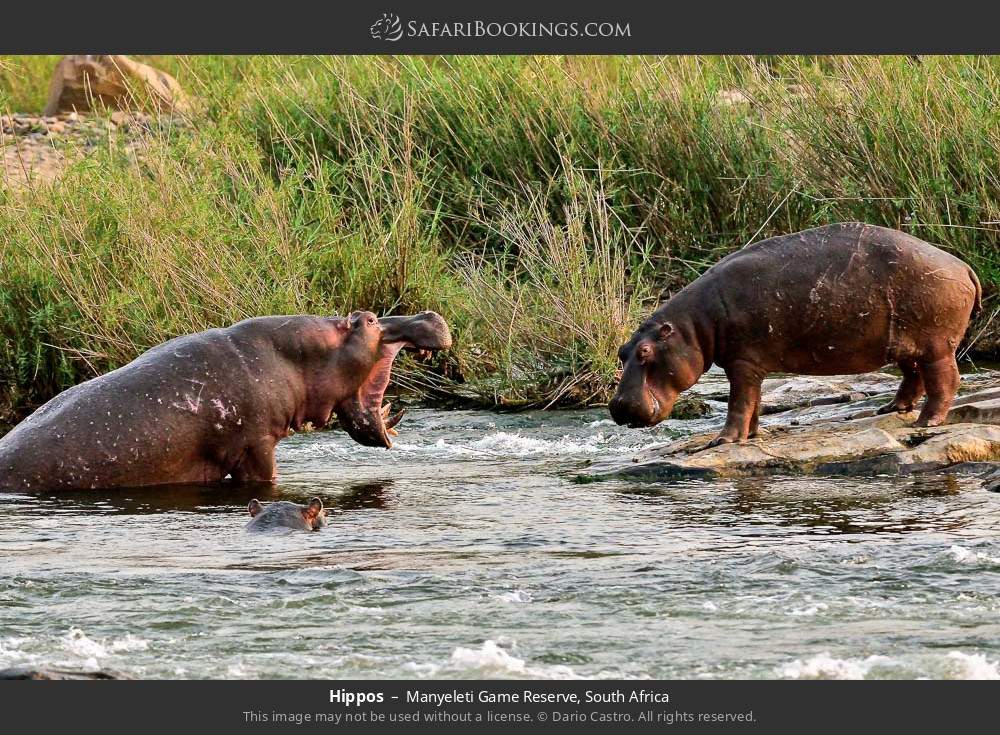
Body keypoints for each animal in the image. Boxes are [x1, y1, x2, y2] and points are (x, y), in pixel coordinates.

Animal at [608, 221, 984, 446]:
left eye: (645, 352)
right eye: (621, 351)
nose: (619, 407)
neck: (695, 326)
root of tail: (963, 265)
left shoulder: (743, 363)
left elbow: (738, 403)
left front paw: (723, 440)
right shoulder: (753, 366)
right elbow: (754, 402)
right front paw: (752, 435)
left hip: (936, 345)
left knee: (945, 381)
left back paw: (925, 424)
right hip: (902, 343)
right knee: (913, 376)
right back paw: (890, 408)